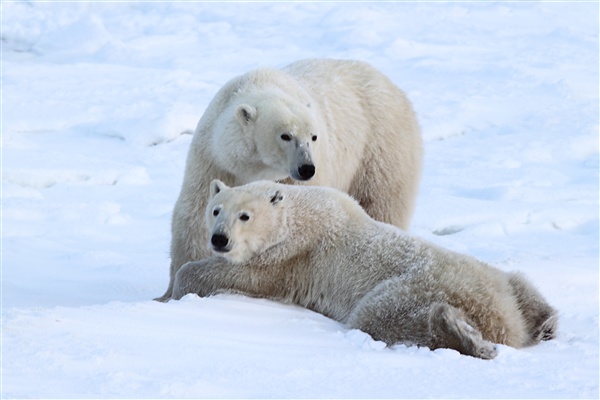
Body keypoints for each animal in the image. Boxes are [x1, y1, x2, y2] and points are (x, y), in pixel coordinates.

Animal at [155, 59, 422, 302]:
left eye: (314, 136)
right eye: (286, 135)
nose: (307, 168)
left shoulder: (295, 178)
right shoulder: (213, 156)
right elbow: (194, 214)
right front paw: (167, 294)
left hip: (381, 145)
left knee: (382, 202)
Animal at [173, 181, 556, 360]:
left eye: (245, 216)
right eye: (215, 210)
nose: (219, 239)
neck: (301, 212)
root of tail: (501, 316)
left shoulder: (291, 257)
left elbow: (244, 276)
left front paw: (178, 291)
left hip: (411, 287)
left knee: (377, 317)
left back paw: (465, 334)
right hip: (494, 278)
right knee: (521, 284)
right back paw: (544, 321)